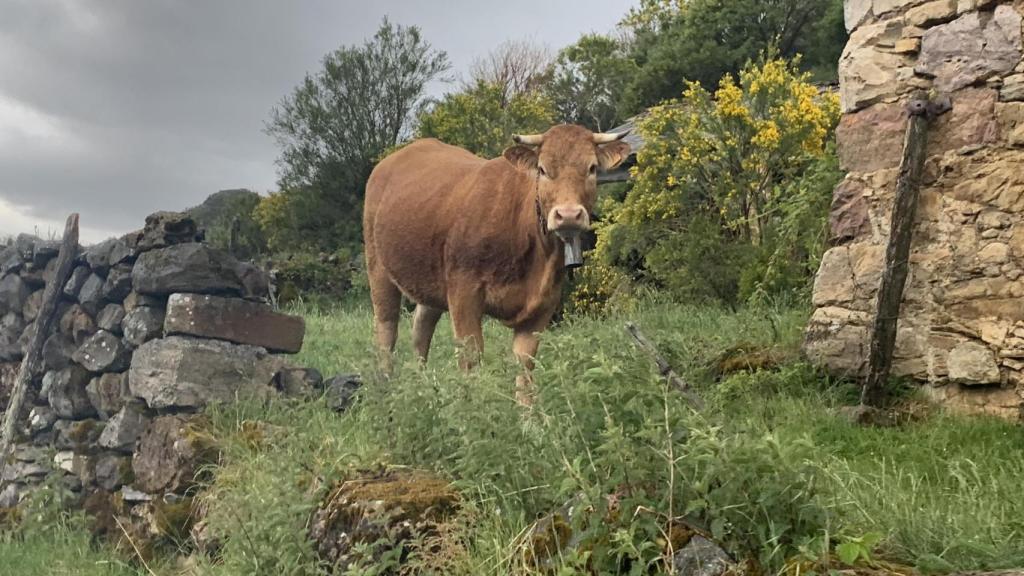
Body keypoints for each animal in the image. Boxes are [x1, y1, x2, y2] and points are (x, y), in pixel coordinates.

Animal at [363, 124, 630, 405]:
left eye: (592, 168)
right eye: (542, 169)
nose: (568, 215)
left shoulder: (543, 305)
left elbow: (525, 366)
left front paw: (528, 415)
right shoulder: (463, 293)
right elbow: (471, 358)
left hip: (429, 280)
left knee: (421, 330)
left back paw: (424, 388)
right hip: (378, 268)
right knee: (386, 331)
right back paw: (386, 388)